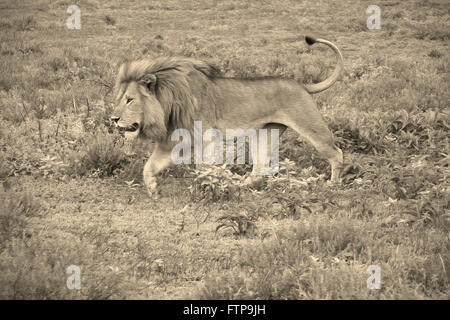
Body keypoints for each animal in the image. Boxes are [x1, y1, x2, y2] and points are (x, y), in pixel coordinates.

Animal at [110, 36, 342, 196]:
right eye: (122, 98)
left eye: (129, 99)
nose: (113, 119)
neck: (169, 102)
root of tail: (302, 85)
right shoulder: (173, 140)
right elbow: (149, 166)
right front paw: (154, 190)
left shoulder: (206, 138)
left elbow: (204, 167)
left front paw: (206, 187)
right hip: (265, 132)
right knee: (260, 167)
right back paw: (241, 186)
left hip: (310, 124)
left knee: (336, 153)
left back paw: (333, 184)